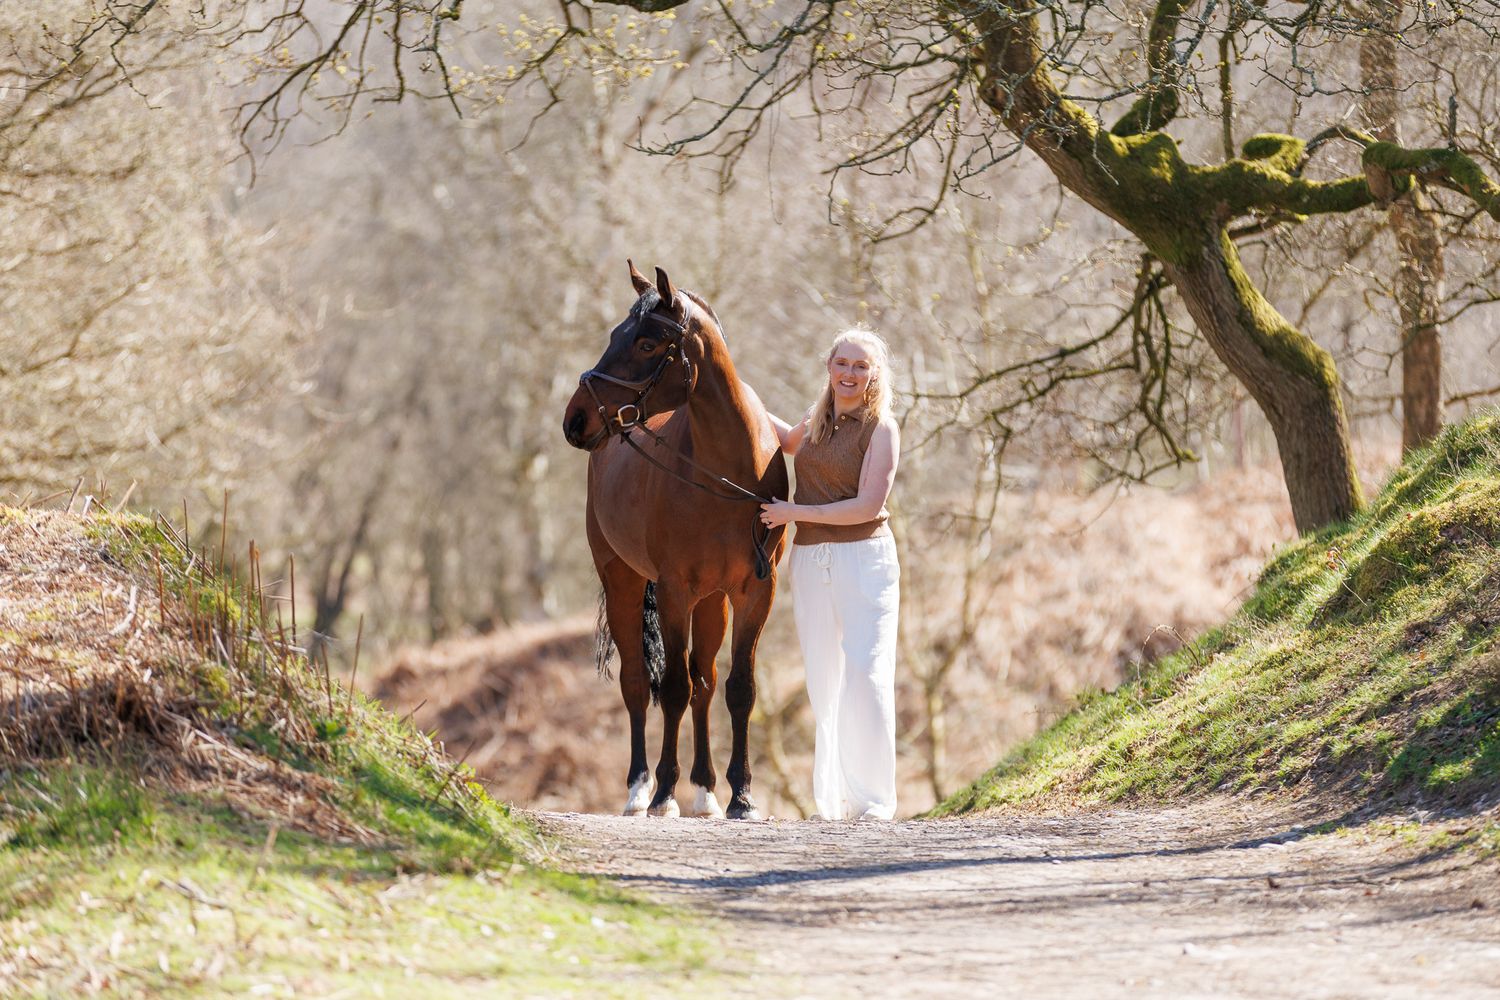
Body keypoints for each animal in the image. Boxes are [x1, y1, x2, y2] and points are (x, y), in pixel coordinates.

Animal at [562, 262, 788, 820]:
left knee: (704, 683)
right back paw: (640, 788)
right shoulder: (672, 590)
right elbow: (671, 689)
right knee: (639, 684)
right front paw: (665, 791)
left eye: (646, 343)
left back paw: (706, 790)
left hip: (712, 602)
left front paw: (741, 795)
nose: (575, 419)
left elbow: (738, 687)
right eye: (615, 335)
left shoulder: (755, 592)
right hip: (624, 582)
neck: (725, 472)